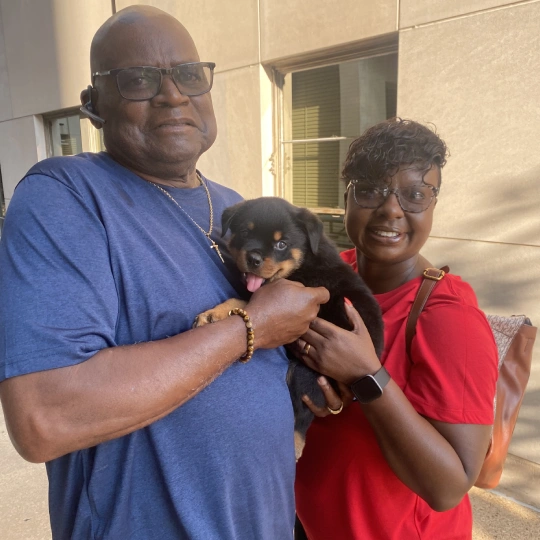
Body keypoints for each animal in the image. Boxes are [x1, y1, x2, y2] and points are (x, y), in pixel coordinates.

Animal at [195, 196, 384, 458]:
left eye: (281, 244)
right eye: (244, 232)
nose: (253, 259)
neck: (305, 259)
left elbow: (243, 300)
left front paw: (214, 313)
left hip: (303, 374)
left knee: (302, 415)